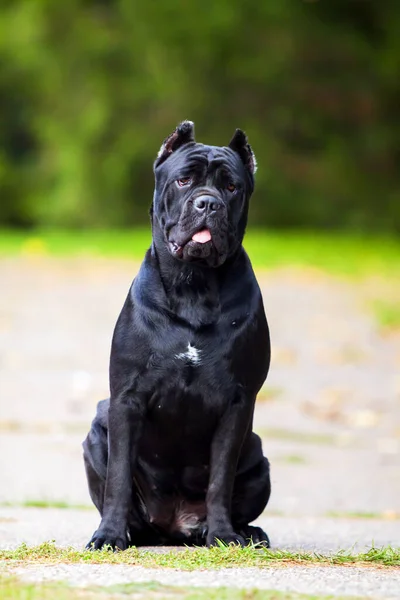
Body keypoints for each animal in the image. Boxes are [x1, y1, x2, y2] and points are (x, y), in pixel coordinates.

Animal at [84, 120, 272, 548]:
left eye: (231, 187)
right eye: (184, 180)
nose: (208, 204)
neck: (194, 285)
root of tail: (172, 528)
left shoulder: (237, 403)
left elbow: (220, 479)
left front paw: (223, 534)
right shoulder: (126, 398)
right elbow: (118, 479)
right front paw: (108, 535)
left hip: (258, 454)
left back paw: (246, 532)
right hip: (97, 428)